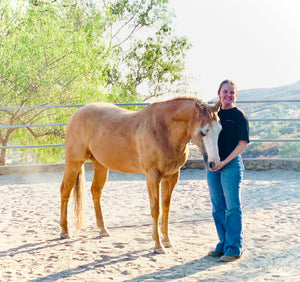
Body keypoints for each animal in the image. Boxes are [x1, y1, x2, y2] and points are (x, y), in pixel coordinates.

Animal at [59, 96, 221, 253]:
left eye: (220, 130)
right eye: (203, 132)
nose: (214, 163)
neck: (164, 130)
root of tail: (76, 114)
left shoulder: (172, 176)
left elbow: (166, 206)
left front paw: (167, 240)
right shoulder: (153, 176)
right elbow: (155, 209)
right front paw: (158, 245)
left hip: (100, 166)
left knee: (95, 191)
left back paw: (103, 230)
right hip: (74, 163)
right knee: (65, 191)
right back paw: (65, 231)